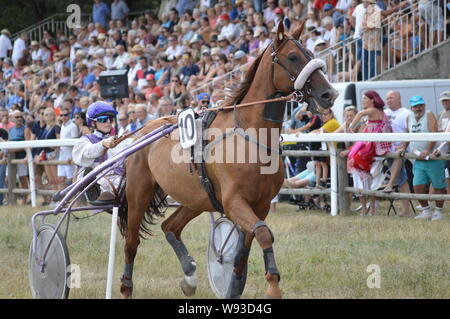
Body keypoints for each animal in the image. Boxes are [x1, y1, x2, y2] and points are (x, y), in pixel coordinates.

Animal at [118, 22, 336, 300]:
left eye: (310, 53)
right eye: (293, 57)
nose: (328, 94)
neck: (251, 138)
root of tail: (144, 130)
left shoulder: (260, 205)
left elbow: (246, 246)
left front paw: (233, 287)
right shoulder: (234, 202)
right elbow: (263, 234)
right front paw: (273, 286)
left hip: (197, 197)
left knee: (170, 226)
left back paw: (189, 276)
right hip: (139, 193)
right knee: (131, 241)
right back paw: (126, 286)